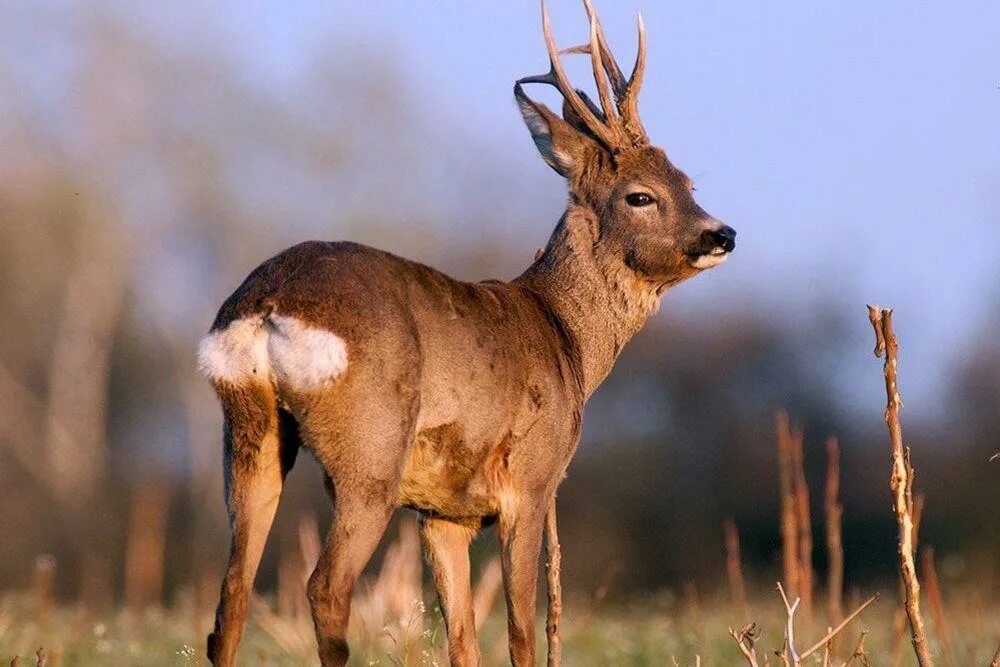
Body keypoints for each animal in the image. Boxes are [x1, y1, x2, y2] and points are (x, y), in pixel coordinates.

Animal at [201, 2, 736, 664]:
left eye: (689, 182)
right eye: (641, 195)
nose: (722, 234)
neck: (564, 338)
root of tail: (267, 304)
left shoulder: (443, 512)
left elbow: (462, 638)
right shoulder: (531, 479)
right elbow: (521, 632)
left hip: (247, 433)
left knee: (231, 595)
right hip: (369, 451)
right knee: (324, 587)